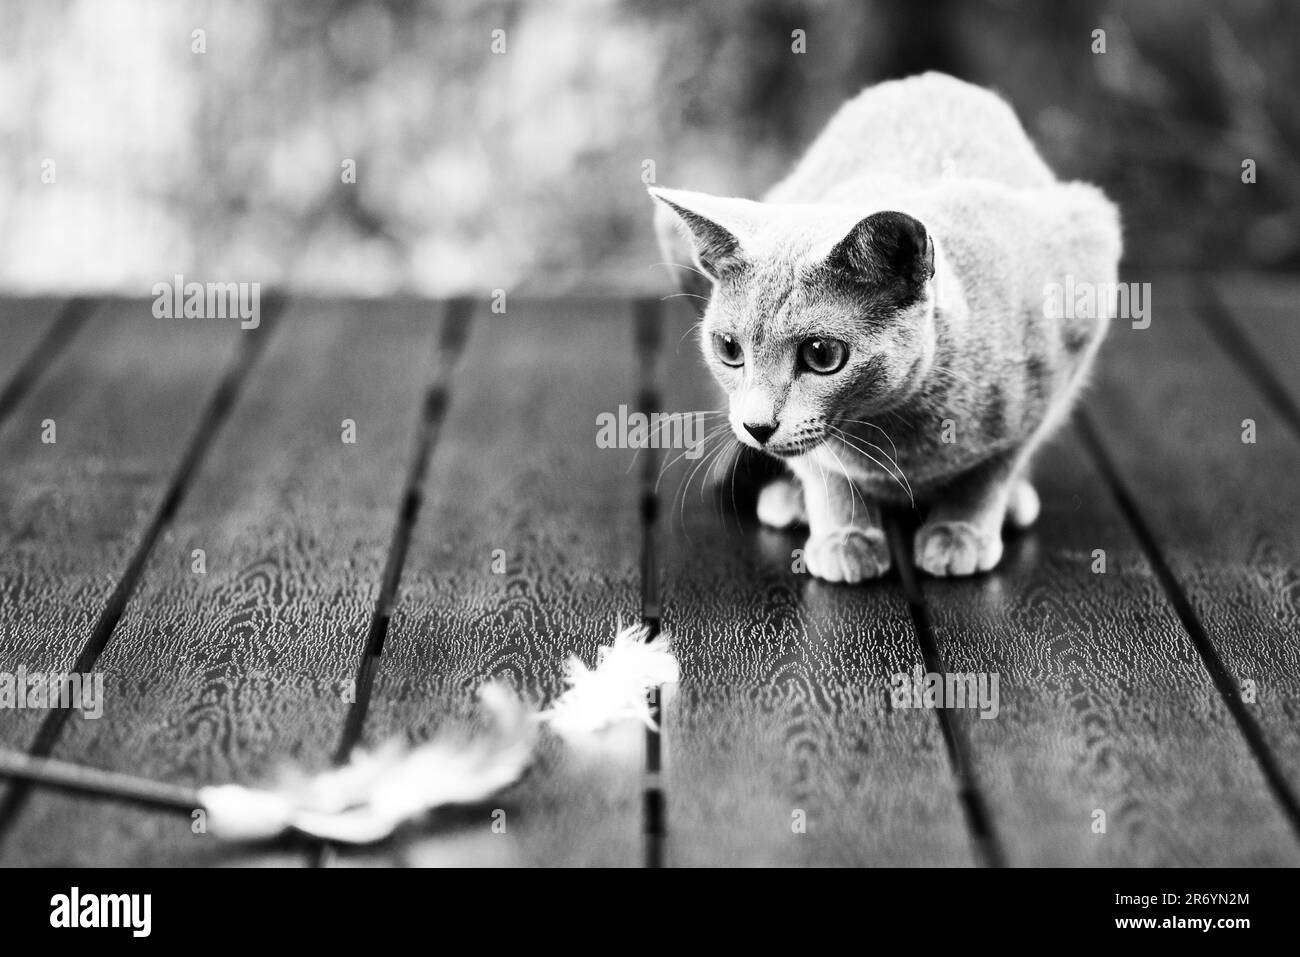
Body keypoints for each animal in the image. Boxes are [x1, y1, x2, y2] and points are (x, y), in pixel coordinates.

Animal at [655, 70, 1123, 579]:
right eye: (728, 349)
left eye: (822, 355)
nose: (756, 426)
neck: (893, 430)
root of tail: (929, 77)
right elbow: (825, 470)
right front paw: (845, 536)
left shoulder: (1069, 326)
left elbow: (994, 466)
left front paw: (960, 531)